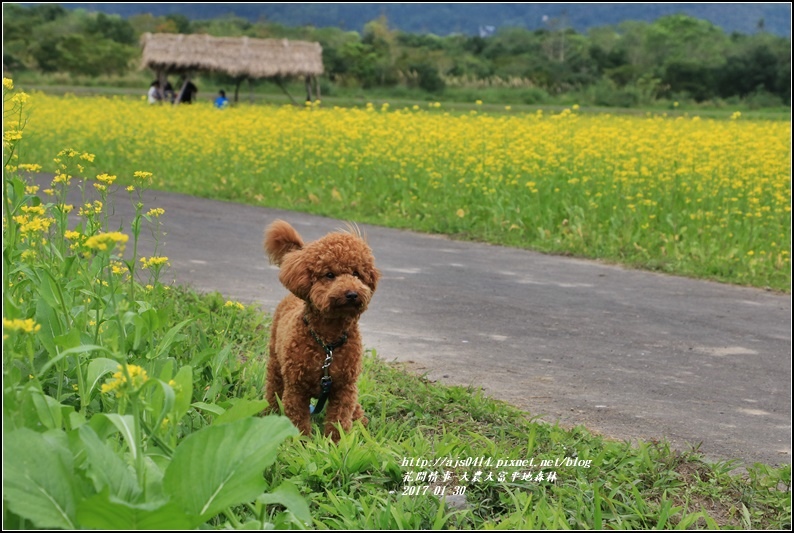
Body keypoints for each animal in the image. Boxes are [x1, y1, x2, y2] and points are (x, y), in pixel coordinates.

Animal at [262, 220, 378, 440]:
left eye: (356, 274)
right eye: (329, 275)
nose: (352, 294)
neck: (328, 343)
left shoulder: (344, 388)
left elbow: (339, 419)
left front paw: (337, 443)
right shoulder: (296, 389)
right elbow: (298, 420)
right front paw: (301, 443)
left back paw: (361, 420)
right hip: (275, 362)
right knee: (273, 388)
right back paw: (268, 413)